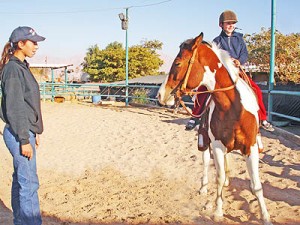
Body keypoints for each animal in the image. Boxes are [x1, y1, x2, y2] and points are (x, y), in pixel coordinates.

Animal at [158, 33, 274, 225]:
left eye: (178, 63)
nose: (161, 95)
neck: (234, 108)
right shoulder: (218, 145)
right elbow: (218, 178)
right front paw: (218, 211)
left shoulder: (250, 148)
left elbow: (256, 185)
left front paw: (265, 217)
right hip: (205, 141)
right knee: (206, 162)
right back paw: (203, 187)